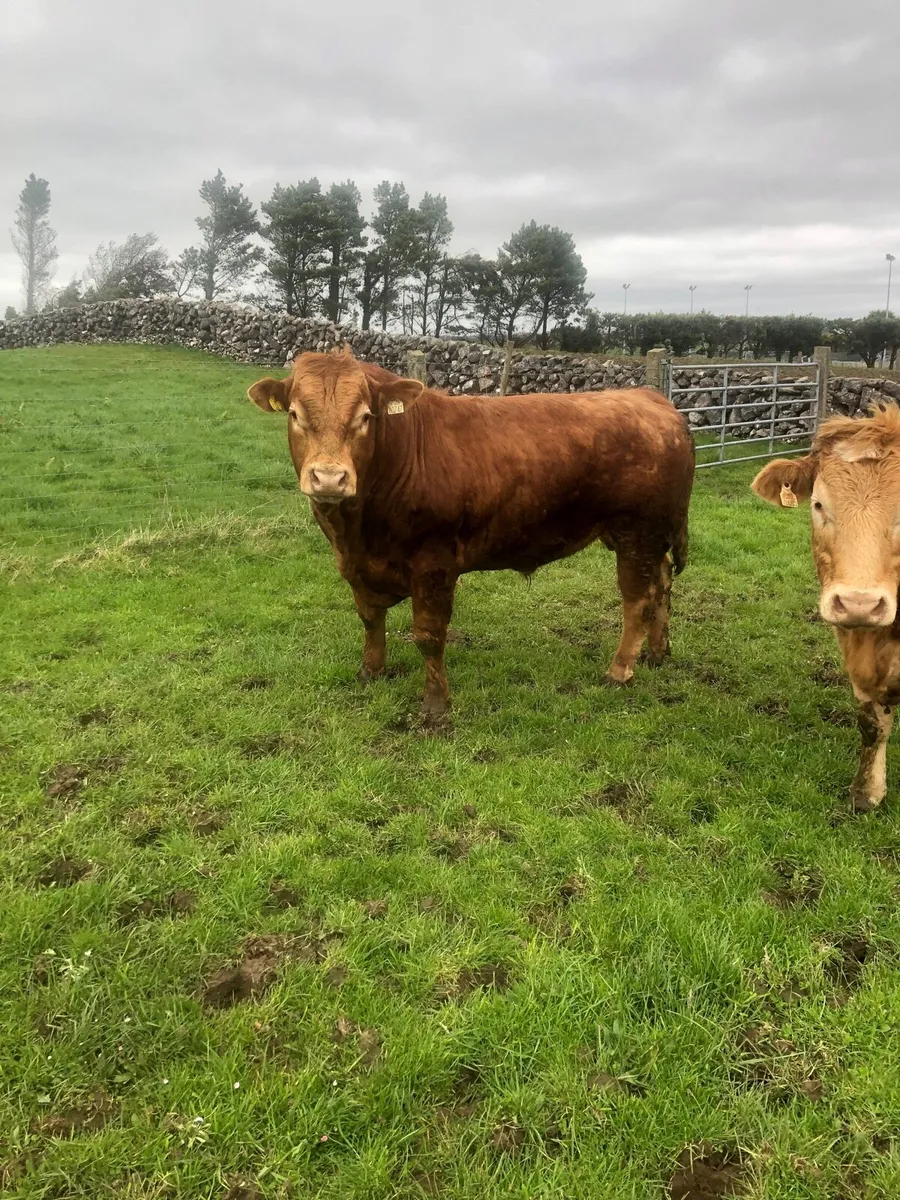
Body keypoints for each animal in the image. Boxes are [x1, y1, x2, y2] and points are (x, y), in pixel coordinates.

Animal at [248, 349, 695, 721]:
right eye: (294, 414)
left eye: (365, 416)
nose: (329, 477)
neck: (358, 529)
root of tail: (654, 401)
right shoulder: (356, 564)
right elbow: (370, 618)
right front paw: (370, 671)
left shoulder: (434, 565)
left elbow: (429, 637)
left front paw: (435, 708)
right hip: (646, 536)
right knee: (662, 584)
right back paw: (658, 653)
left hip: (638, 532)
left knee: (637, 599)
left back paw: (620, 671)